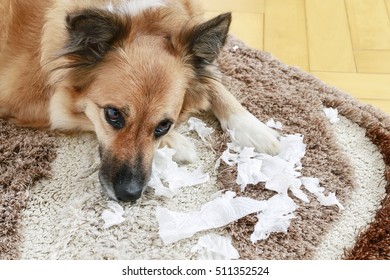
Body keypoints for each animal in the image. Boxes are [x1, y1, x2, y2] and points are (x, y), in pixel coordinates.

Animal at [0, 0, 280, 201]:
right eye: (113, 115)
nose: (129, 195)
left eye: (163, 125)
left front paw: (254, 129)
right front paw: (180, 144)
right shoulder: (37, 103)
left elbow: (215, 83)